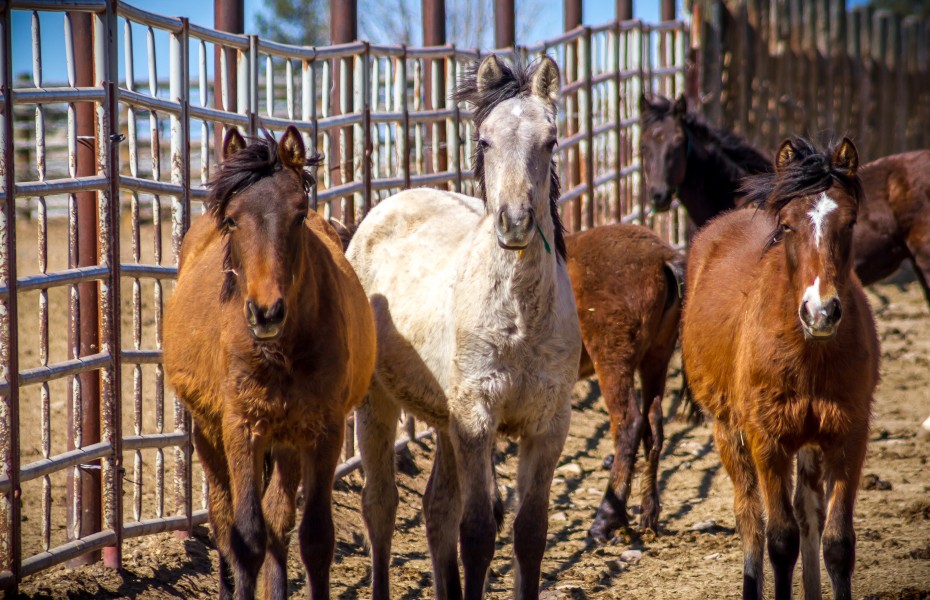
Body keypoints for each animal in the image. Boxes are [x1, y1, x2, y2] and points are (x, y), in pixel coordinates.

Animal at [163, 126, 376, 600]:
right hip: (208, 434)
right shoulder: (241, 428)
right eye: (232, 220)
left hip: (288, 440)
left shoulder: (323, 431)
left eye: (298, 216)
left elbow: (315, 538)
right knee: (224, 520)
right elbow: (246, 537)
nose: (266, 312)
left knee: (279, 521)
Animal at [347, 55, 582, 600]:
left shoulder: (547, 425)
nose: (515, 222)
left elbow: (530, 533)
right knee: (381, 506)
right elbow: (476, 532)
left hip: (443, 419)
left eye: (551, 140)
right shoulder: (477, 418)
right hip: (377, 403)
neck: (519, 320)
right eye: (485, 140)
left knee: (436, 509)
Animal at [565, 224, 683, 541]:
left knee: (629, 424)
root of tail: (662, 258)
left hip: (612, 359)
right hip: (656, 358)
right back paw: (648, 515)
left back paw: (605, 520)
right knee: (654, 426)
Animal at [681, 137, 879, 600]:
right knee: (750, 518)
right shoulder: (766, 441)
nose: (820, 311)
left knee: (808, 515)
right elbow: (780, 539)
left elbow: (837, 542)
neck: (808, 354)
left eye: (850, 222)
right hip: (729, 432)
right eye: (787, 225)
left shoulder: (848, 437)